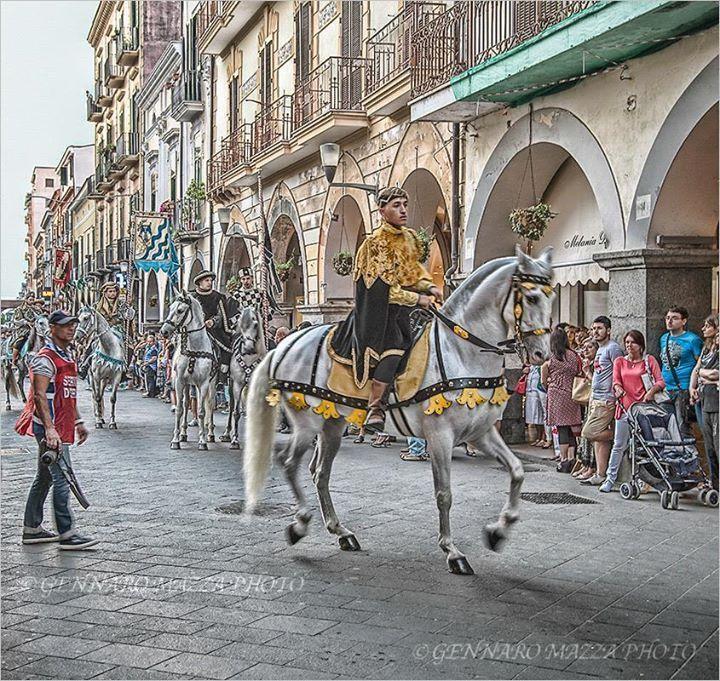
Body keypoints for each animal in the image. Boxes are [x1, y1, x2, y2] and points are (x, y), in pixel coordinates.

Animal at [162, 294, 218, 448]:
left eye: (180, 310)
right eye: (170, 307)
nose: (164, 331)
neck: (194, 350)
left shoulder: (204, 383)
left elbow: (201, 411)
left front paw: (202, 440)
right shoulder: (180, 381)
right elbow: (180, 409)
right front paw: (176, 439)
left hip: (210, 384)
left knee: (210, 404)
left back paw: (210, 433)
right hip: (188, 385)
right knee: (187, 404)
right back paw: (183, 434)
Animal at [222, 306, 268, 448]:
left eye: (256, 324)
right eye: (240, 325)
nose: (248, 349)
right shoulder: (238, 384)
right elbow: (236, 412)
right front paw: (235, 440)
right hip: (231, 384)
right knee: (232, 406)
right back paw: (227, 433)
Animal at [245, 247, 556, 576]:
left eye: (552, 296)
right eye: (532, 297)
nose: (542, 354)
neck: (461, 351)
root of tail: (284, 345)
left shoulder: (481, 433)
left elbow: (517, 471)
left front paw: (498, 531)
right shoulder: (440, 436)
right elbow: (444, 494)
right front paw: (452, 551)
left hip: (332, 424)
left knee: (319, 473)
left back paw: (341, 532)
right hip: (306, 422)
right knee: (290, 462)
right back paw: (300, 525)